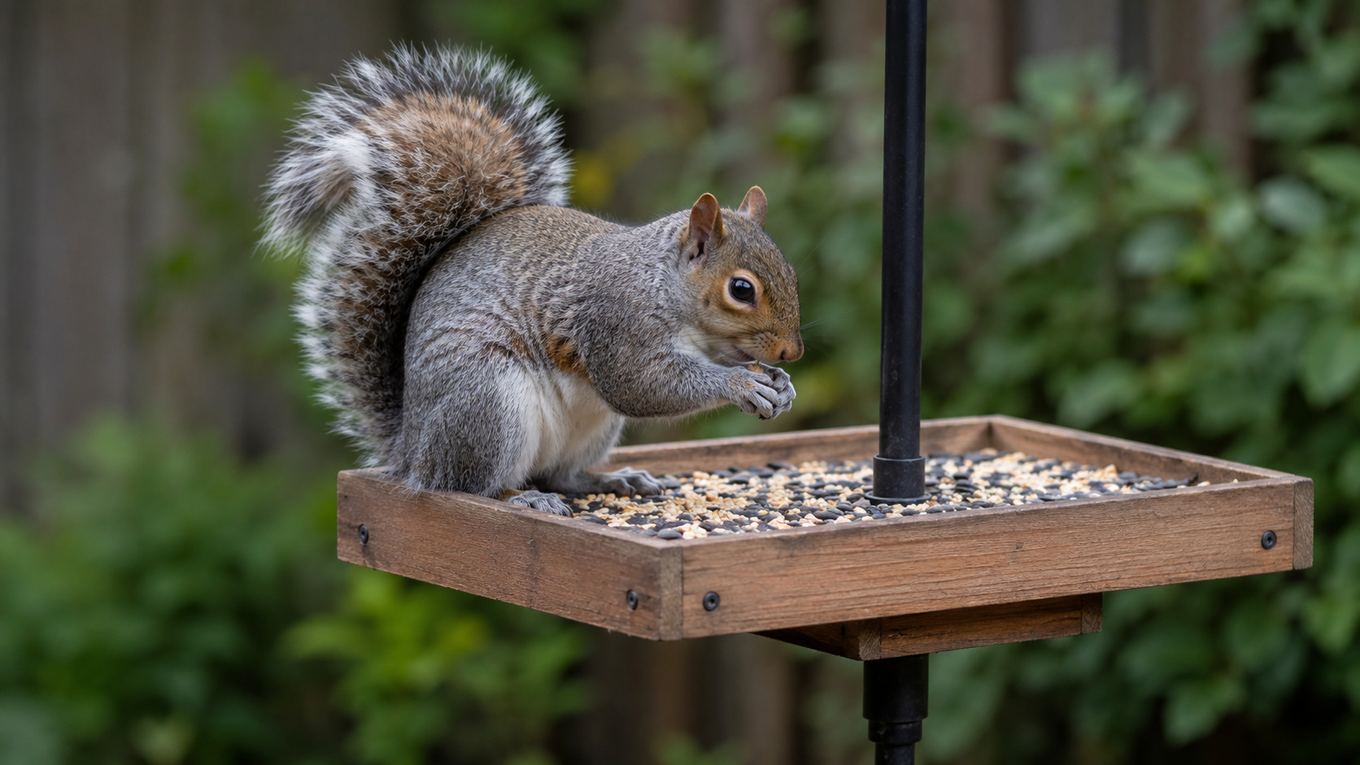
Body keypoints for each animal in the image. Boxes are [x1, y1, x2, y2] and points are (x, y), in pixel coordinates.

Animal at [263, 46, 803, 515]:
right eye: (741, 289)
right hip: (488, 402)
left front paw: (780, 385)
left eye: (791, 272)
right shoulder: (615, 322)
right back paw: (521, 498)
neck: (662, 285)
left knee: (562, 475)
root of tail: (412, 451)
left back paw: (615, 478)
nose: (791, 352)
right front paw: (741, 383)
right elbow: (641, 385)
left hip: (591, 428)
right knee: (471, 486)